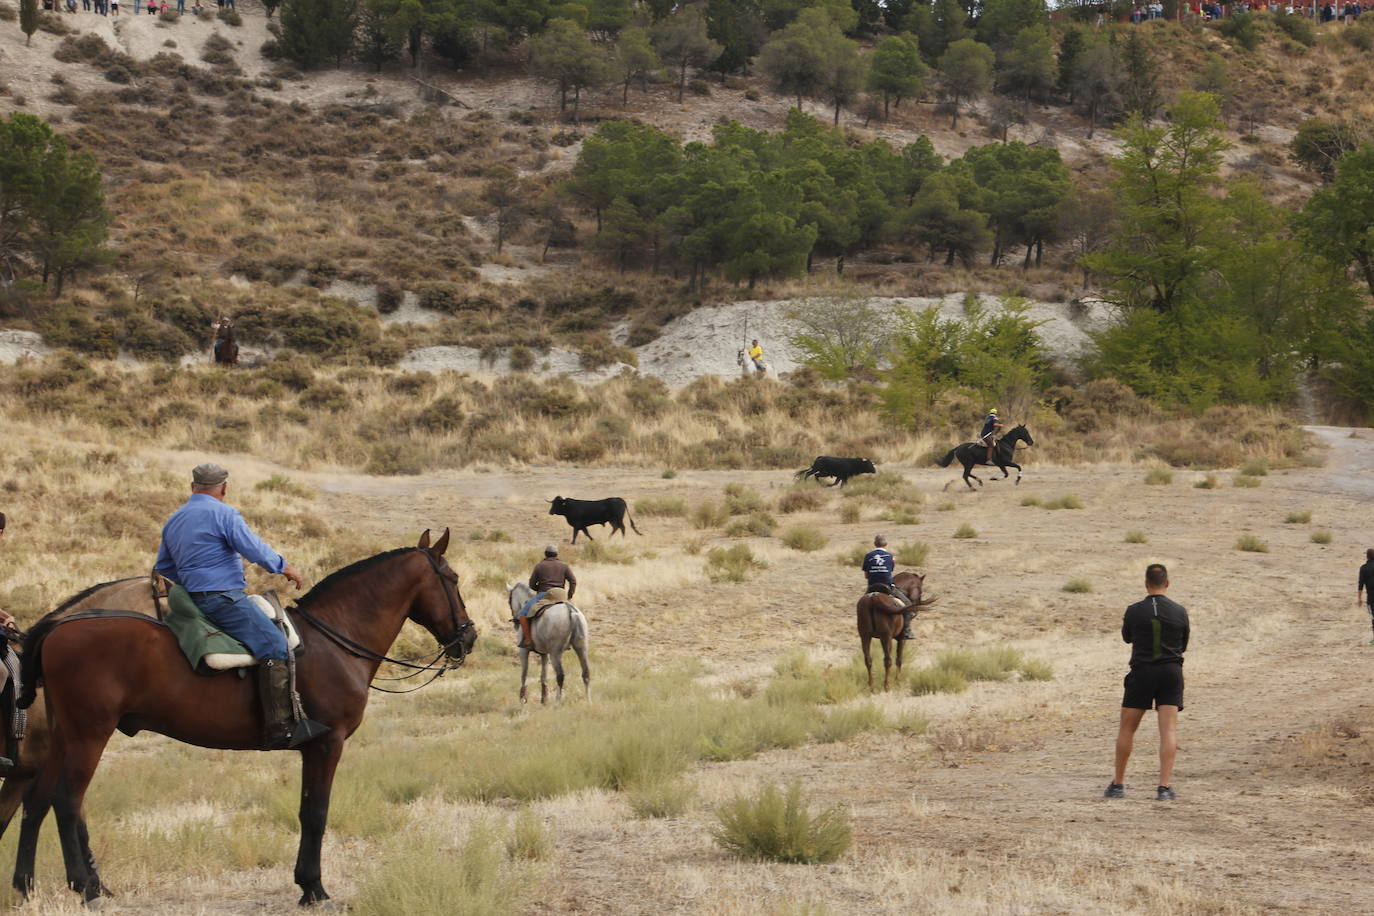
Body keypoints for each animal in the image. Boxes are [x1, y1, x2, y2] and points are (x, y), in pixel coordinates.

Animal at [13, 532, 478, 906]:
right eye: (452, 578)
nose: (468, 636)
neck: (333, 640)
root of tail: (57, 627)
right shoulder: (327, 744)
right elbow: (316, 813)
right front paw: (314, 889)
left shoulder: (314, 748)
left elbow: (308, 810)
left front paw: (306, 884)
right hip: (89, 735)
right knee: (66, 802)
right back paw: (86, 888)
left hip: (63, 737)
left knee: (37, 802)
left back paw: (27, 885)